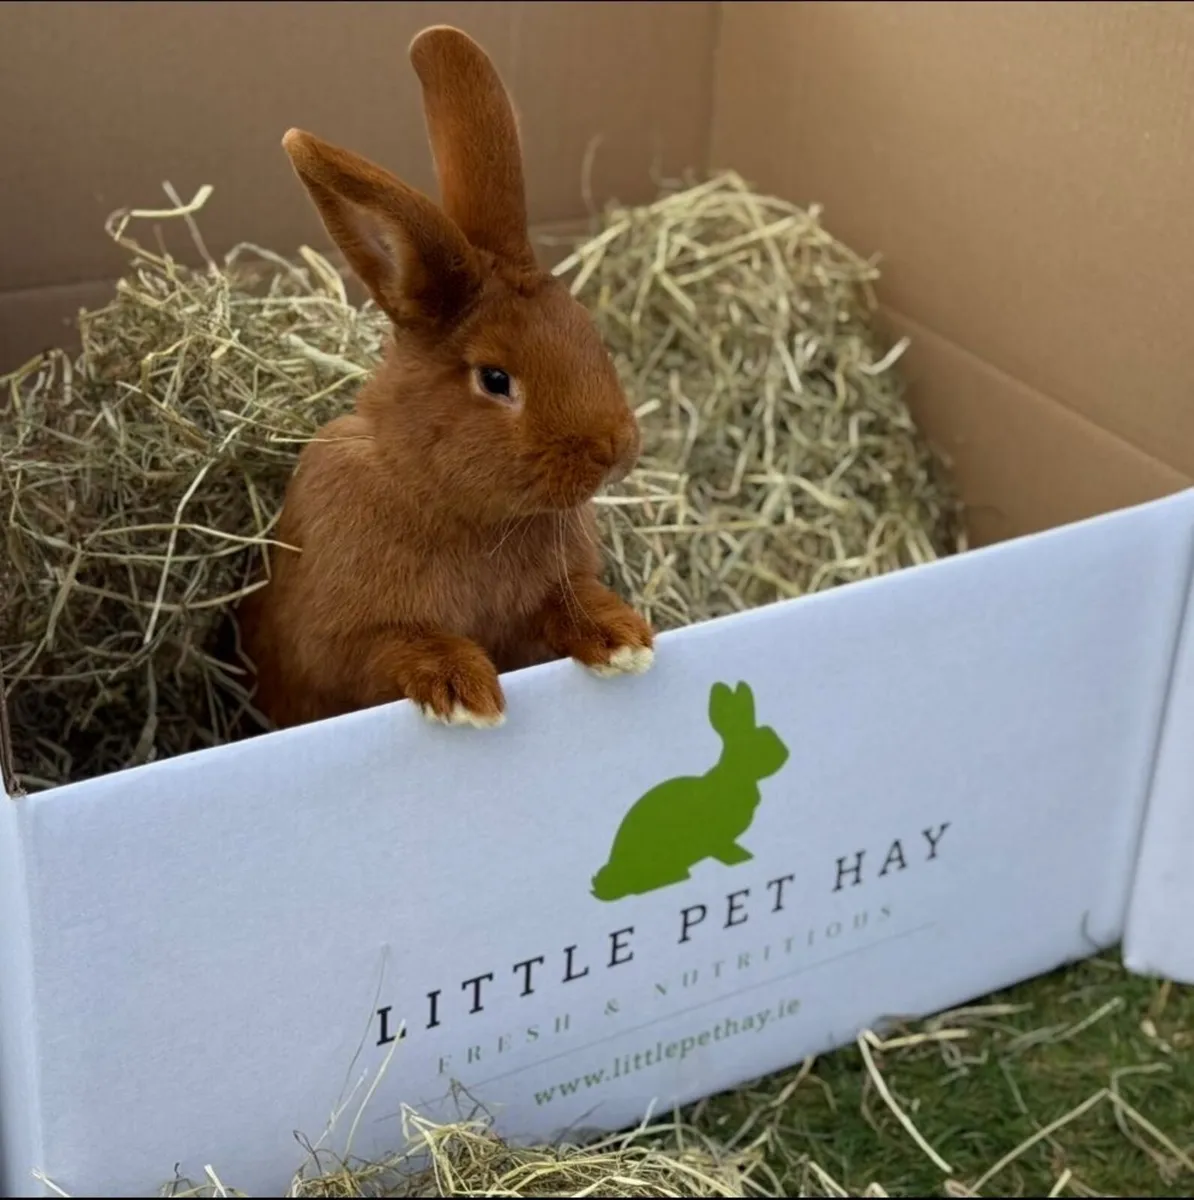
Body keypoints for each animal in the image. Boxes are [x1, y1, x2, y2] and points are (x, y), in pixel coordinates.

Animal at [235, 25, 655, 733]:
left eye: (586, 330)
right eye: (495, 379)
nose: (614, 452)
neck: (455, 504)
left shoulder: (547, 601)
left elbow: (570, 604)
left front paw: (625, 640)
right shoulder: (340, 645)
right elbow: (400, 645)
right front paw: (463, 691)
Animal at [591, 682, 790, 902]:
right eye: (759, 742)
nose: (785, 753)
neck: (734, 774)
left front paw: (744, 856)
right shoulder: (717, 836)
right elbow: (722, 849)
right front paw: (738, 858)